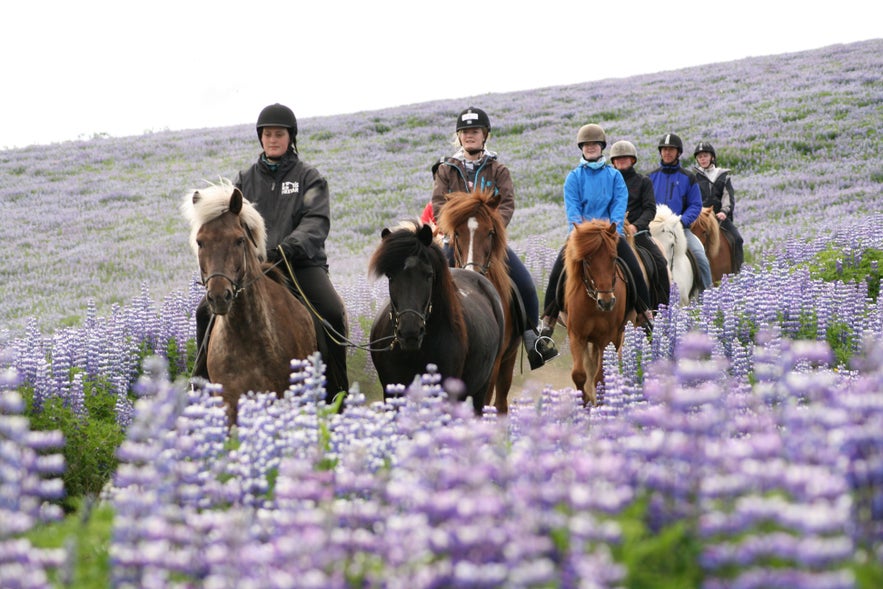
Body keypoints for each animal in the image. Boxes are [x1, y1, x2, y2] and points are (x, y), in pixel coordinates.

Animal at [564, 218, 632, 406]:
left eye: (613, 258)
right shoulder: (576, 335)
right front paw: (584, 402)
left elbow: (599, 377)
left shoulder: (606, 338)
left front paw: (600, 404)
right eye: (587, 260)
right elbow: (579, 374)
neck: (593, 305)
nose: (606, 302)